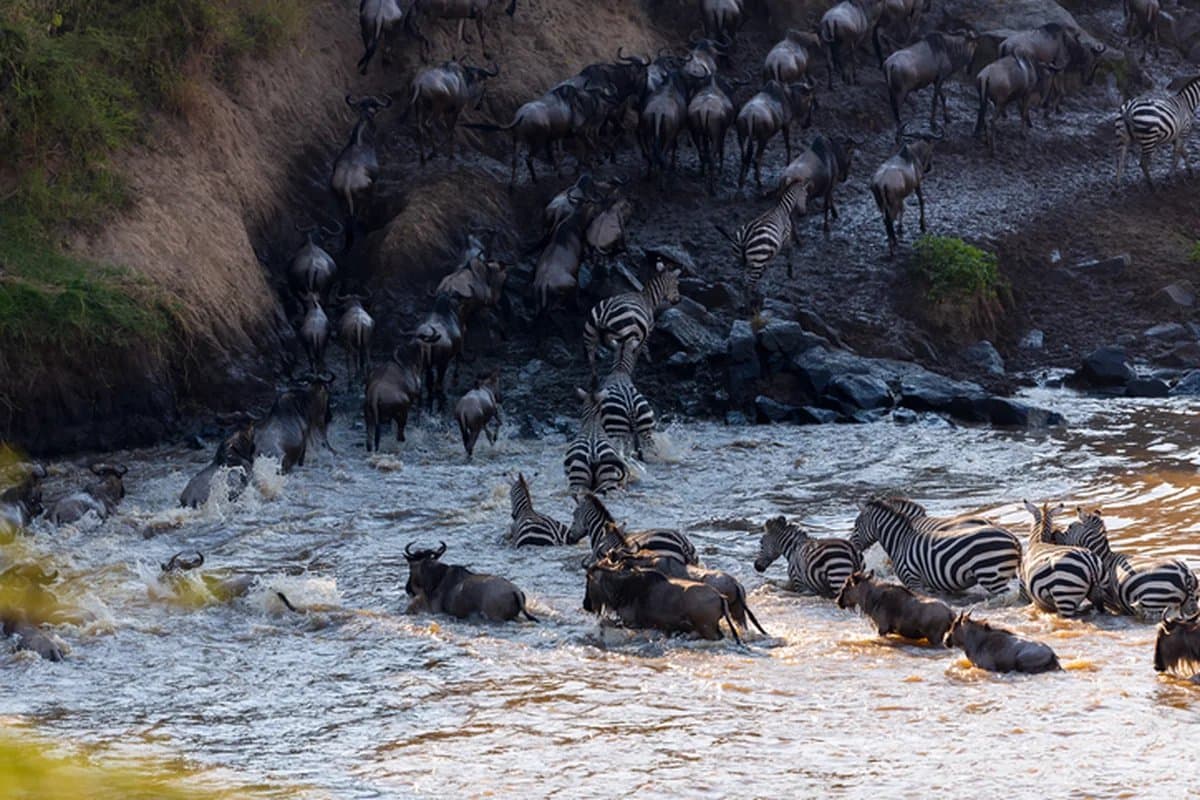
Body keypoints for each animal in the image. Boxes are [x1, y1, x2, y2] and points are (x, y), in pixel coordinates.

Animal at [714, 179, 806, 309]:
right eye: (806, 195)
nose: (804, 213)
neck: (782, 208)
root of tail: (745, 237)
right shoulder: (786, 237)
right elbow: (790, 252)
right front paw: (790, 273)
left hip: (741, 260)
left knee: (743, 282)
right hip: (756, 259)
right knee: (748, 285)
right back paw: (751, 306)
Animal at [850, 497, 1022, 596]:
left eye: (855, 525)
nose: (851, 545)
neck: (901, 540)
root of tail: (1012, 537)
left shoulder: (913, 579)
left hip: (991, 574)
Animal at [1055, 507, 1198, 618]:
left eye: (1070, 526)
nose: (1054, 535)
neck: (1105, 558)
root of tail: (1184, 572)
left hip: (1154, 602)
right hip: (1190, 603)